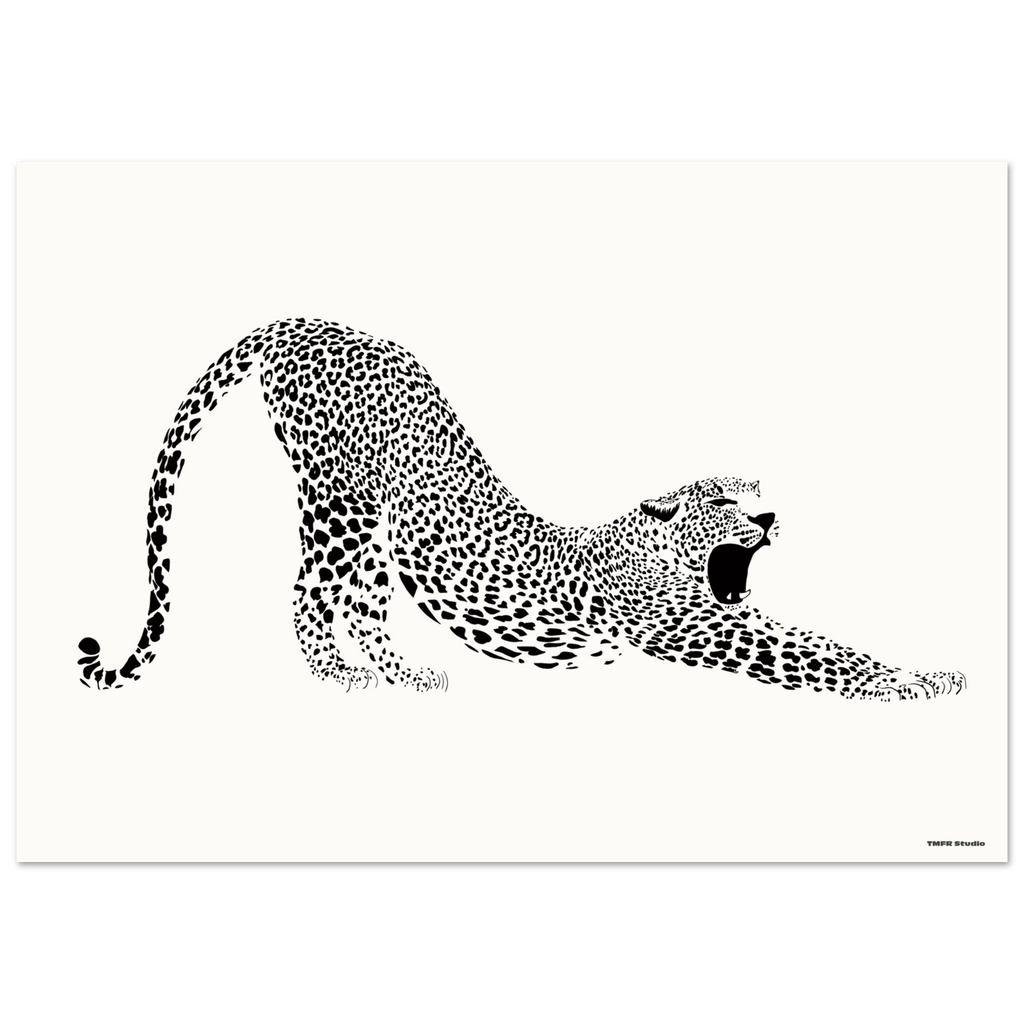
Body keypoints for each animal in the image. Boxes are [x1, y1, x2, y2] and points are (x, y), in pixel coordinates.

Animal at [77, 318, 966, 701]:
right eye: (721, 501)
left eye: (755, 496)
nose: (772, 521)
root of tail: (307, 318)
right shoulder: (695, 628)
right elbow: (815, 657)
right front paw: (904, 689)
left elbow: (828, 639)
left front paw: (933, 672)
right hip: (339, 499)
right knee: (308, 591)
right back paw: (341, 677)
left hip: (382, 525)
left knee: (364, 603)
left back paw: (406, 675)